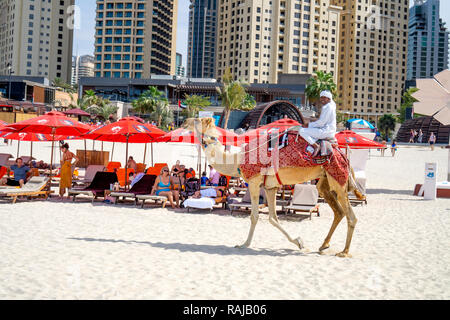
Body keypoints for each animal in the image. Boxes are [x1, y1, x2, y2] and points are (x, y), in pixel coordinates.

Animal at [185, 117, 364, 258]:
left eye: (197, 120)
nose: (185, 121)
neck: (237, 159)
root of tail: (343, 155)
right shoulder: (270, 187)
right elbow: (273, 218)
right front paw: (299, 242)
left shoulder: (254, 182)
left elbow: (254, 216)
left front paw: (244, 244)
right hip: (325, 181)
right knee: (338, 211)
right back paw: (324, 245)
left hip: (338, 178)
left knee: (351, 216)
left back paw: (344, 251)